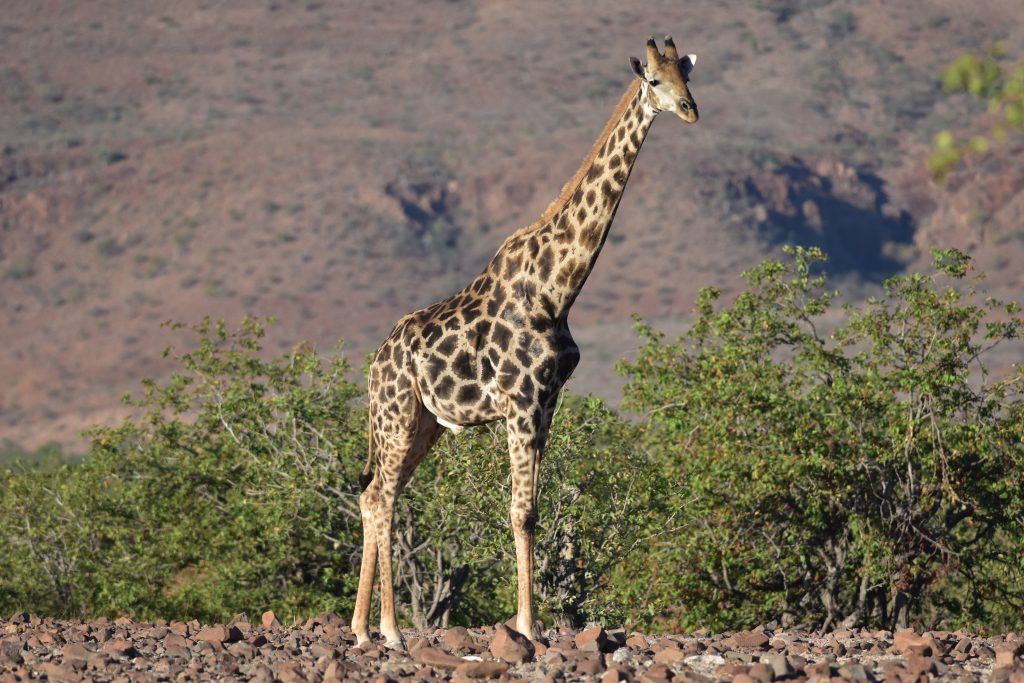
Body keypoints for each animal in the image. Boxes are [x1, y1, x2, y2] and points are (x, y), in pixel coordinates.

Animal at [350, 36, 696, 647]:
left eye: (688, 75)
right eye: (653, 80)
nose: (689, 110)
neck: (559, 287)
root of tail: (376, 363)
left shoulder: (548, 402)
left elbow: (532, 509)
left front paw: (533, 624)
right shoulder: (521, 402)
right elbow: (521, 513)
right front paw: (529, 628)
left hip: (423, 423)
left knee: (375, 497)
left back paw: (363, 629)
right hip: (395, 415)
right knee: (383, 497)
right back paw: (388, 631)